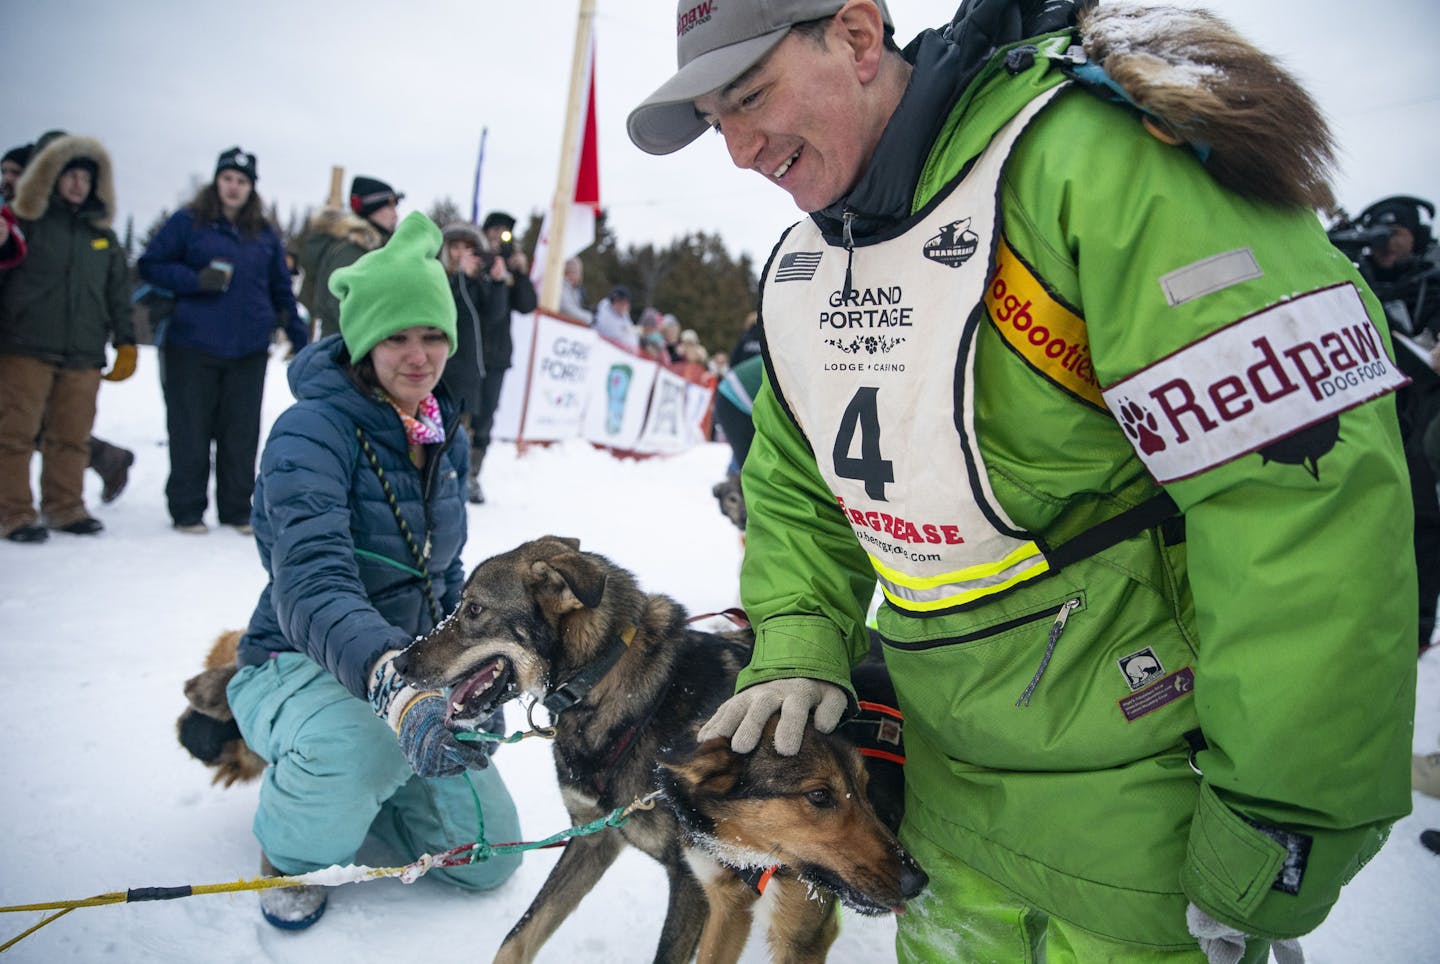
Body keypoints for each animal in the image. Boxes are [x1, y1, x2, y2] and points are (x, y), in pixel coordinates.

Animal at [394, 538, 921, 956]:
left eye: (473, 610)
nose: (399, 662)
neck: (620, 692)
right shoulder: (594, 837)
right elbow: (519, 936)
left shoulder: (690, 880)